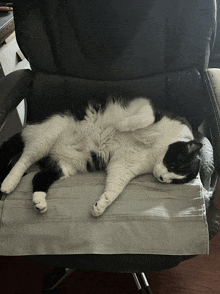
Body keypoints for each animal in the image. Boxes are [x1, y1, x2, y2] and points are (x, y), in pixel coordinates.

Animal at [0, 96, 203, 216]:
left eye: (174, 180)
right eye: (174, 164)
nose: (162, 178)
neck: (155, 150)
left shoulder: (124, 165)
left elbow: (116, 187)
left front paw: (102, 204)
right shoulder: (148, 107)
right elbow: (146, 117)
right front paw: (123, 125)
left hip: (62, 165)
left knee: (39, 177)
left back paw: (39, 202)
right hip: (48, 135)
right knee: (24, 158)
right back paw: (8, 183)